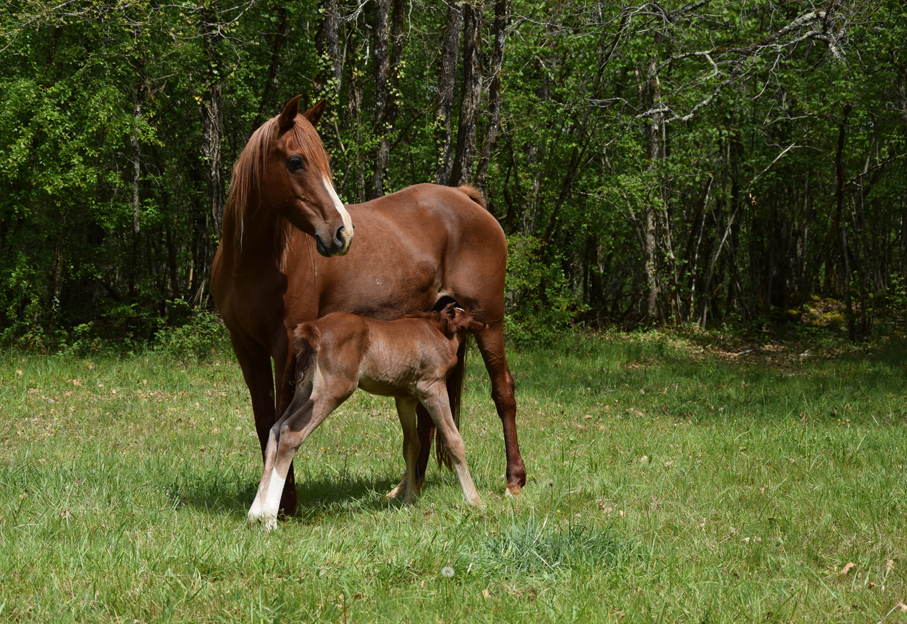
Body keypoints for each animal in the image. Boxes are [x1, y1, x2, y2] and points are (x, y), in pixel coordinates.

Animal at [248, 303, 486, 529]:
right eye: (467, 319)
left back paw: (254, 514)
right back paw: (269, 518)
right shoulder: (431, 387)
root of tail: (313, 329)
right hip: (334, 390)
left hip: (304, 390)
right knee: (291, 432)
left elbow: (411, 445)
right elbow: (453, 439)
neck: (439, 331)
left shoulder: (406, 398)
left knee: (276, 428)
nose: (482, 324)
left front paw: (409, 501)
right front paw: (475, 501)